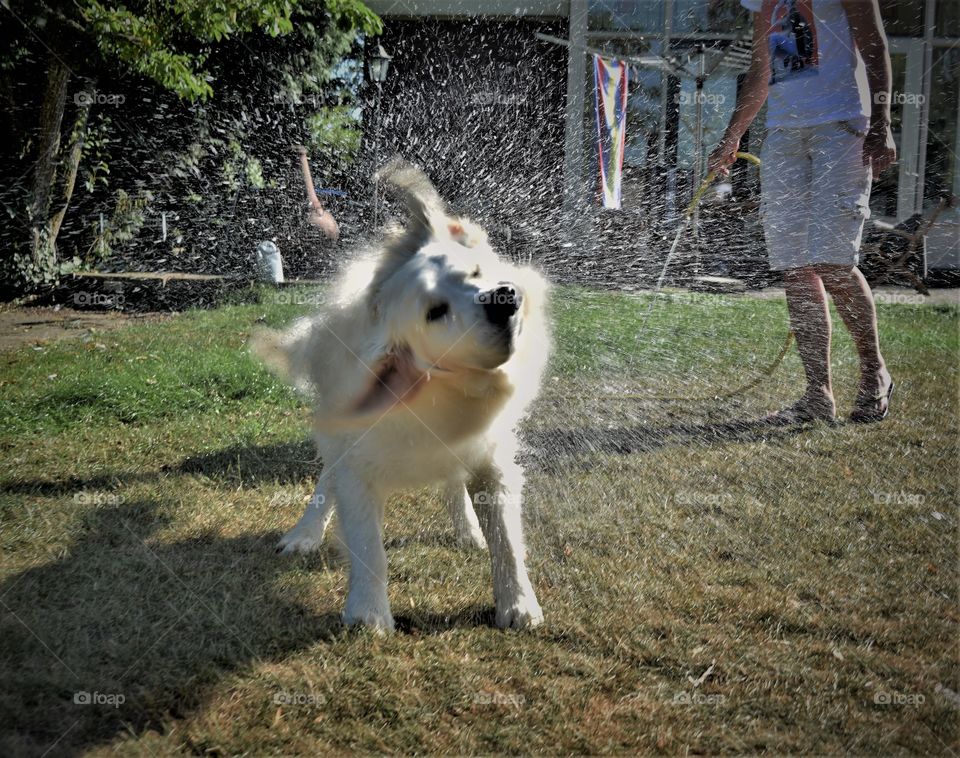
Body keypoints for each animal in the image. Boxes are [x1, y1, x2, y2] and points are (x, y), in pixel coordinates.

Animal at [255, 157, 552, 632]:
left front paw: (519, 604)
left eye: (474, 274)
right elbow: (367, 545)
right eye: (435, 312)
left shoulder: (491, 455)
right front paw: (368, 614)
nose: (503, 297)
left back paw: (468, 530)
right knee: (326, 482)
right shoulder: (356, 462)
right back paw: (304, 534)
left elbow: (506, 539)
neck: (437, 392)